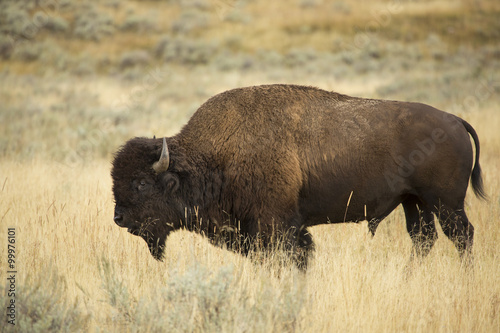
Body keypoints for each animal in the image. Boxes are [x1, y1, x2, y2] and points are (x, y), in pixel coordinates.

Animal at [112, 84, 484, 268]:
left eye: (141, 183)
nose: (119, 218)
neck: (213, 155)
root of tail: (454, 120)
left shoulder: (275, 225)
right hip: (414, 202)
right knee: (424, 239)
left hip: (446, 202)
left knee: (462, 236)